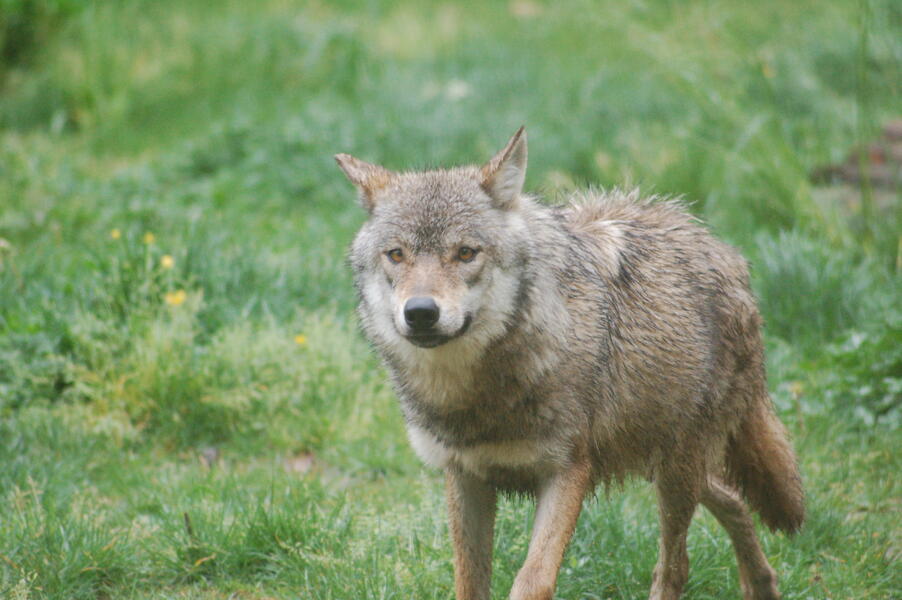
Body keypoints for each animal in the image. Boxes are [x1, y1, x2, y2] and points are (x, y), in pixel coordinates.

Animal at [338, 129, 804, 600]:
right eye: (396, 255)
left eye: (466, 253)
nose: (420, 312)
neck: (476, 395)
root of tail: (726, 253)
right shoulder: (466, 476)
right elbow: (469, 582)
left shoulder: (566, 471)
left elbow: (533, 581)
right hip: (665, 463)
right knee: (731, 499)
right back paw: (762, 584)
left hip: (676, 471)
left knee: (676, 565)